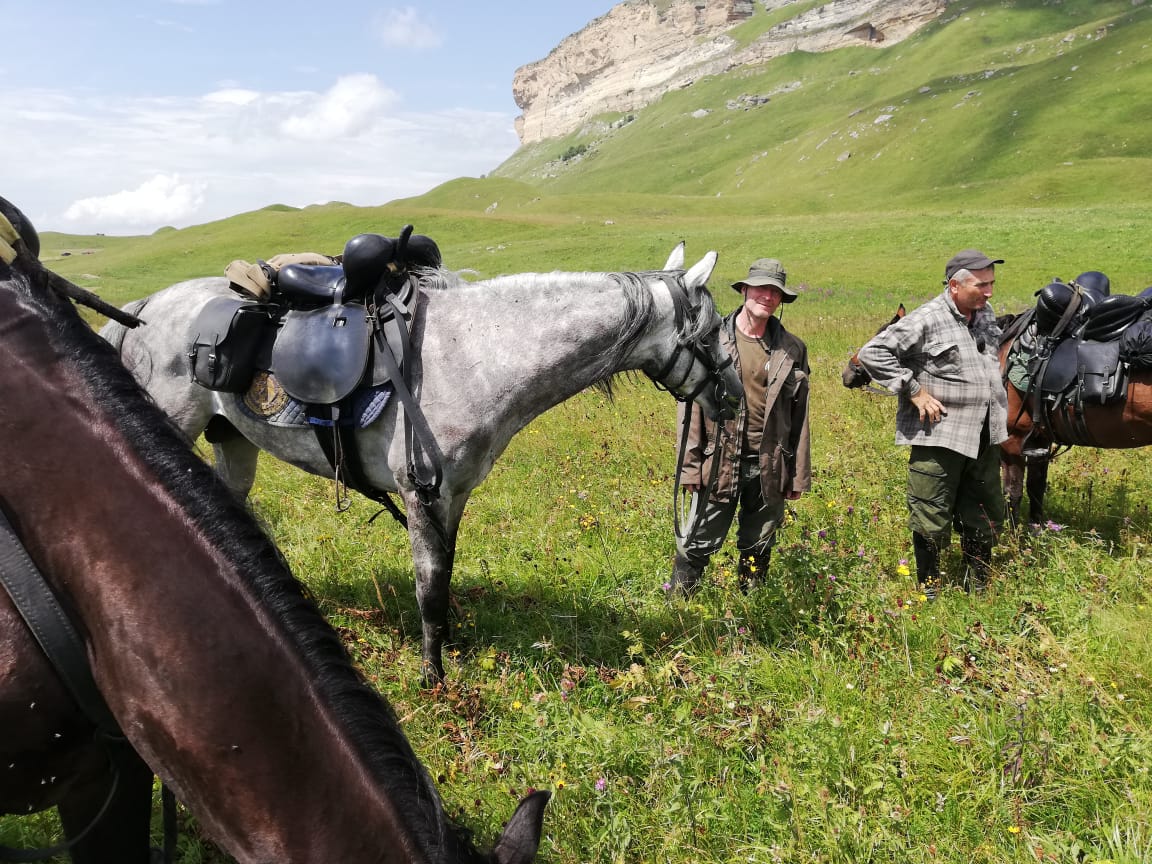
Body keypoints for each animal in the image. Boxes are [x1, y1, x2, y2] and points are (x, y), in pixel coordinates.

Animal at [103, 246, 741, 686]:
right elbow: (429, 587)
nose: (735, 399)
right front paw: (433, 678)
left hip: (233, 441)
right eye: (713, 331)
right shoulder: (421, 495)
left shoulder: (452, 497)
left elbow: (444, 578)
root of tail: (145, 307)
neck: (479, 353)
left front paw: (448, 653)